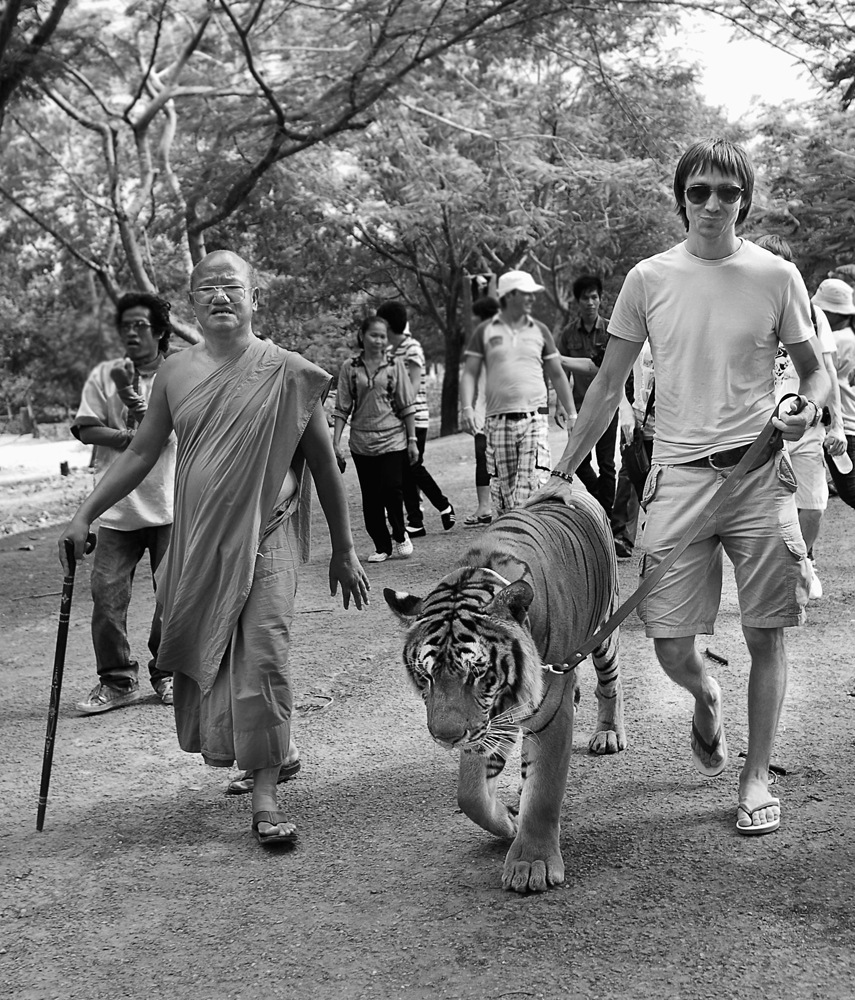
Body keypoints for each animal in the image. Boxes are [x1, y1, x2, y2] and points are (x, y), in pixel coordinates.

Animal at [384, 491, 626, 894]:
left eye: (476, 671)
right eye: (426, 675)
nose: (445, 738)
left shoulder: (548, 717)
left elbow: (543, 792)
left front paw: (531, 863)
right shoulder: (487, 724)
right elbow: (470, 794)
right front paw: (509, 820)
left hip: (605, 630)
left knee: (610, 683)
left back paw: (608, 734)